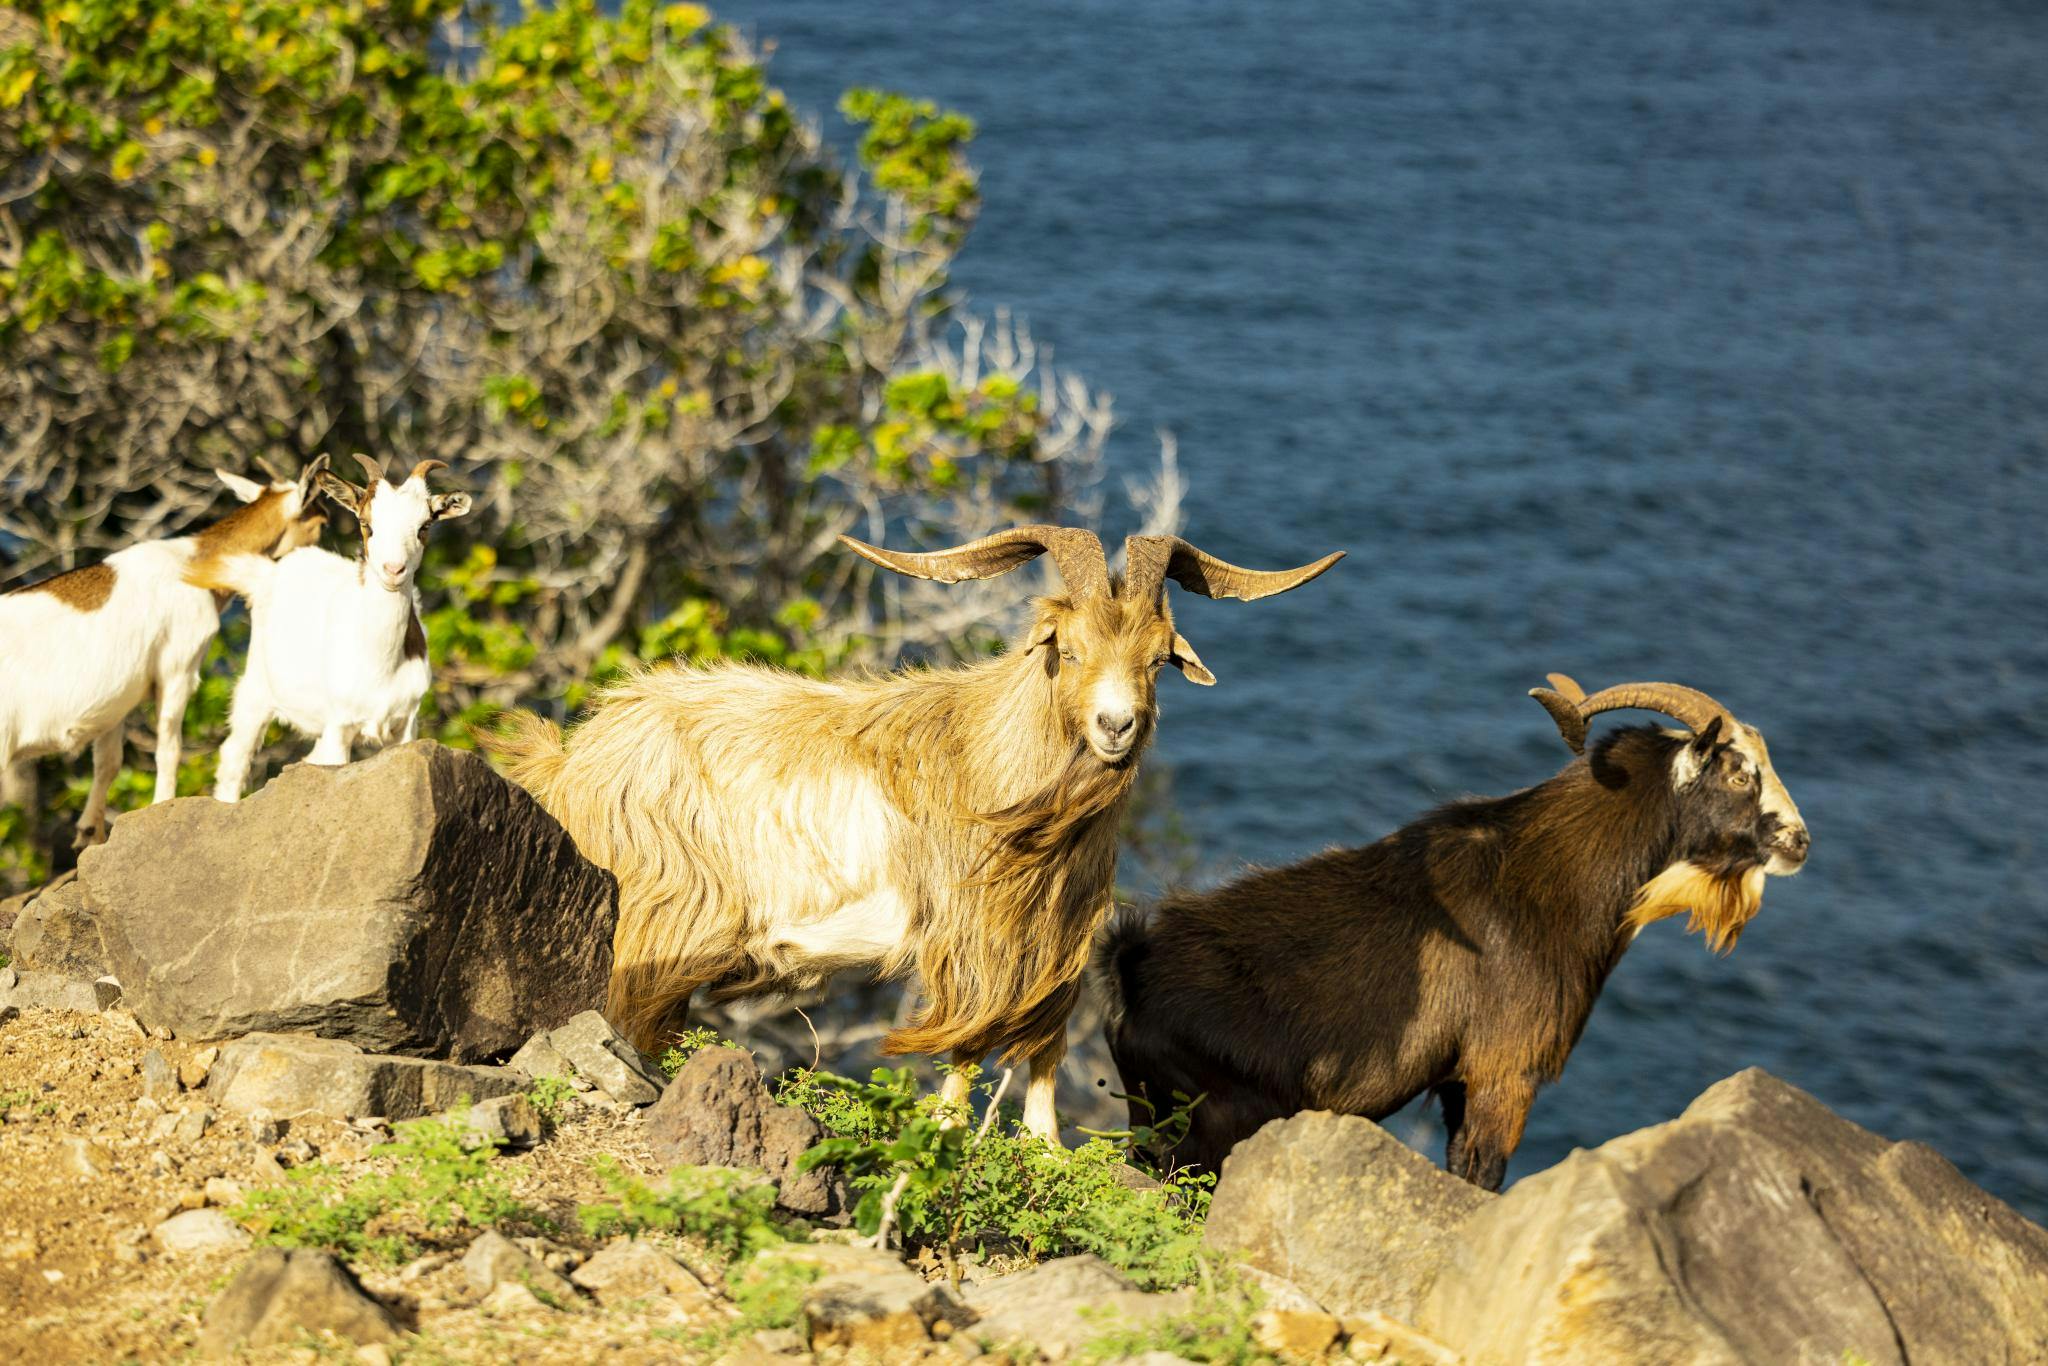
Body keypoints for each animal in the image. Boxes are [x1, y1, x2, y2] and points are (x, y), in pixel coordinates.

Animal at [0, 459, 329, 845]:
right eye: (321, 523)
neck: (194, 564)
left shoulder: (117, 697)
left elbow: (108, 762)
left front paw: (89, 834)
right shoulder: (178, 665)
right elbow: (169, 747)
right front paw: (162, 804)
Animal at [191, 454, 471, 800]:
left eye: (425, 526)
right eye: (366, 523)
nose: (393, 570)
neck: (380, 664)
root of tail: (269, 572)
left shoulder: (406, 724)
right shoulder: (339, 725)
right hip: (255, 686)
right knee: (235, 757)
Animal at [486, 525, 1342, 1140]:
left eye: (1160, 659)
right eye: (1066, 651)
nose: (1115, 726)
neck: (987, 756)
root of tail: (573, 761)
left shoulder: (1053, 941)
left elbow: (1045, 1047)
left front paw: (1042, 1144)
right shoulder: (970, 937)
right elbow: (967, 1047)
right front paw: (950, 1132)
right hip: (653, 924)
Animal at [1098, 675, 1811, 1188]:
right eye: (1740, 774)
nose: (1800, 842)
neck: (1552, 880)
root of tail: (1132, 967)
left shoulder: (1455, 1081)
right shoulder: (1505, 1069)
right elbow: (1481, 1174)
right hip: (1209, 1122)